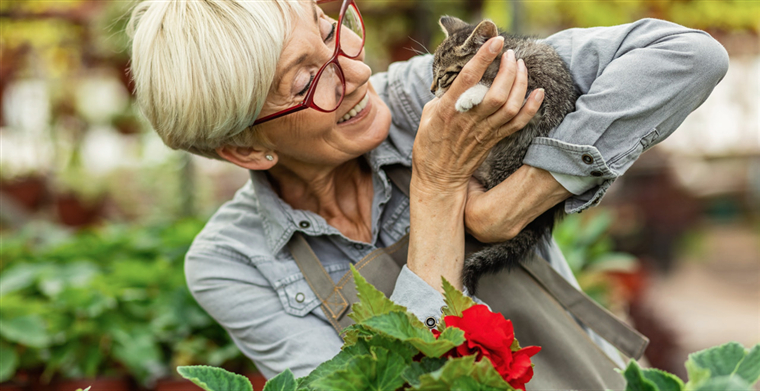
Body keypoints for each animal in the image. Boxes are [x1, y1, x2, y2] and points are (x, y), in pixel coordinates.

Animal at [430, 16, 580, 294]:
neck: (510, 56)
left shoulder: (538, 94)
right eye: (432, 75)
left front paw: (469, 95)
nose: (432, 89)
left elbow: (491, 86)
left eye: (444, 76)